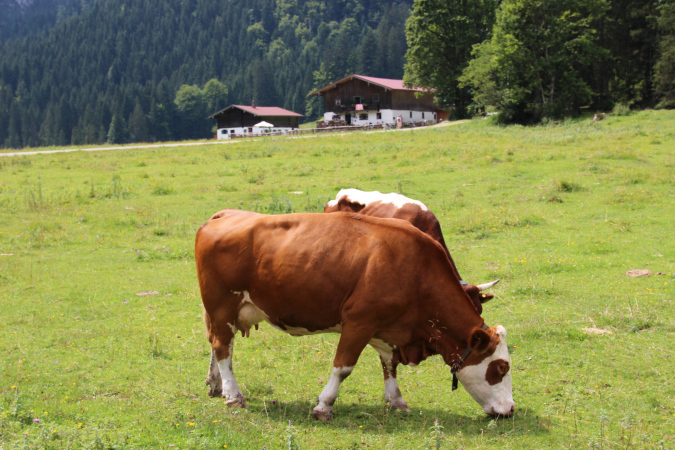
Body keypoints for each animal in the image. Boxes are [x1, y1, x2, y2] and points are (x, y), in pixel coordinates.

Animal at [195, 209, 514, 421]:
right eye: (501, 368)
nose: (510, 410)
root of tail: (224, 214)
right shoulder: (359, 322)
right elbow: (343, 367)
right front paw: (324, 406)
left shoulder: (389, 328)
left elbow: (389, 364)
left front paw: (396, 400)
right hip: (222, 304)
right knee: (223, 347)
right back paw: (233, 396)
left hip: (223, 311)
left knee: (217, 343)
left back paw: (216, 385)